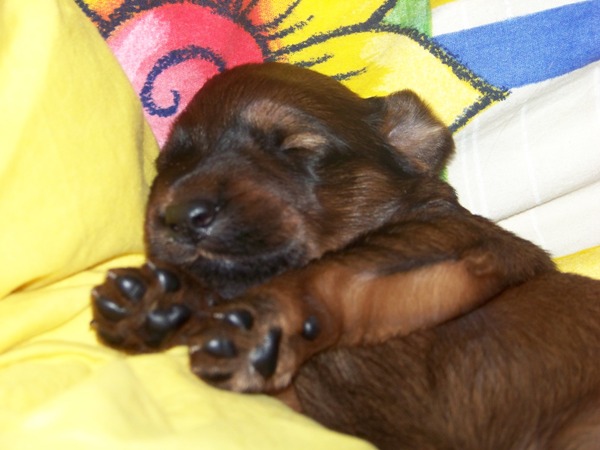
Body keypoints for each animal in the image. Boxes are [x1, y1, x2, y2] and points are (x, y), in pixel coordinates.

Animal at [92, 62, 600, 449]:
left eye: (294, 146)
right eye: (169, 162)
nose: (180, 216)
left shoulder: (455, 239)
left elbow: (331, 267)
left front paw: (249, 322)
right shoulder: (294, 402)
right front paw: (159, 299)